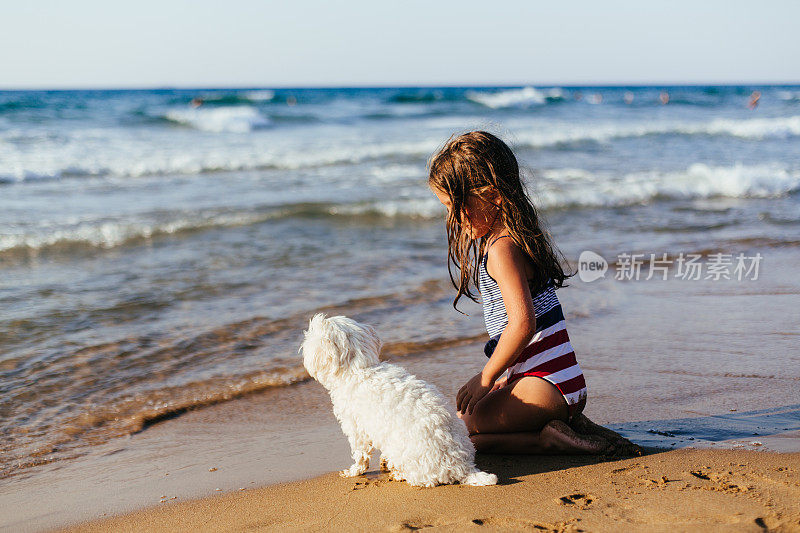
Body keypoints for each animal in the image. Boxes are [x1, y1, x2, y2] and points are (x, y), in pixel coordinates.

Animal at [300, 312, 496, 486]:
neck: (360, 369)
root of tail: (462, 467)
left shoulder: (355, 427)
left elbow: (360, 453)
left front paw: (353, 471)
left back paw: (398, 474)